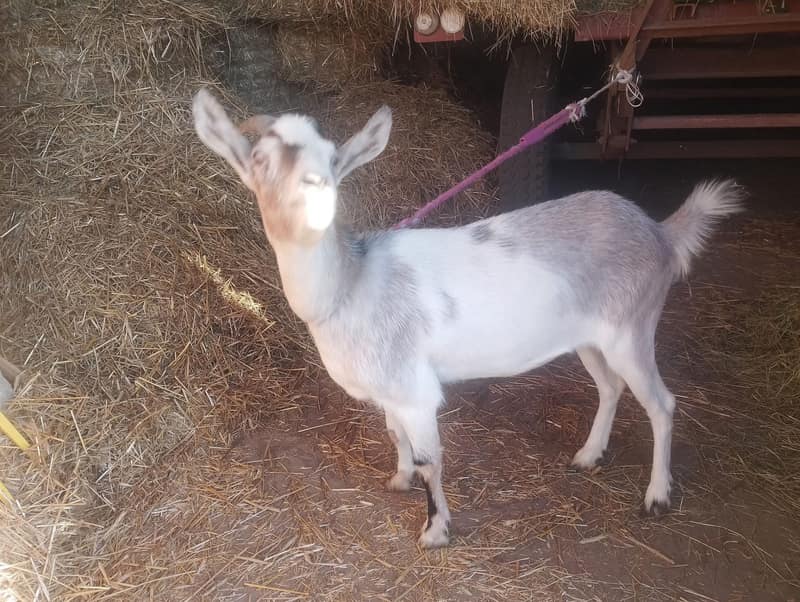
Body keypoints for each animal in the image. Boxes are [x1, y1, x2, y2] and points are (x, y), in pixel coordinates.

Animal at [192, 88, 745, 548]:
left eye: (332, 159)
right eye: (258, 160)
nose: (316, 190)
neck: (352, 285)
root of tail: (659, 233)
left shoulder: (416, 392)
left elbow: (429, 459)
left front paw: (435, 529)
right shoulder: (391, 388)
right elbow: (395, 436)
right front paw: (398, 480)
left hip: (633, 327)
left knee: (662, 404)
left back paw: (656, 496)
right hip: (590, 337)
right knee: (610, 388)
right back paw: (589, 455)